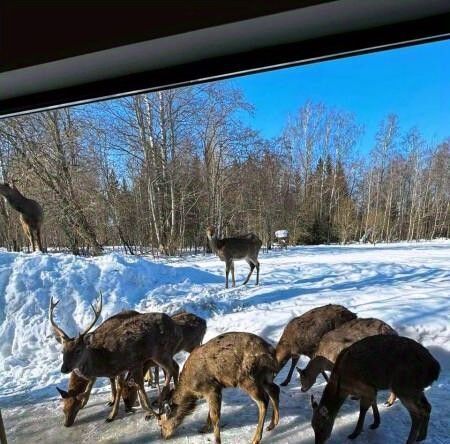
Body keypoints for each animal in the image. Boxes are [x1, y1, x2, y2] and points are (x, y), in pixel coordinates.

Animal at [49, 296, 183, 422]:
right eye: (62, 351)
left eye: (78, 350)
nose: (64, 368)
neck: (107, 358)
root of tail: (174, 325)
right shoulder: (123, 369)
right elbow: (129, 390)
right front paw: (114, 413)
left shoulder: (135, 363)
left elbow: (142, 395)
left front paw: (155, 414)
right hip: (162, 354)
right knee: (173, 368)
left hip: (161, 352)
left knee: (171, 370)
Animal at [310, 334, 440, 442]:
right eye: (312, 426)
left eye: (321, 427)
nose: (318, 442)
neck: (343, 386)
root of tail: (435, 369)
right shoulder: (371, 388)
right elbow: (373, 401)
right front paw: (376, 423)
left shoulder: (365, 386)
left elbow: (363, 408)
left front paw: (354, 433)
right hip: (416, 389)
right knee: (427, 407)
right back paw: (421, 436)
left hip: (405, 387)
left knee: (417, 414)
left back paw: (411, 440)